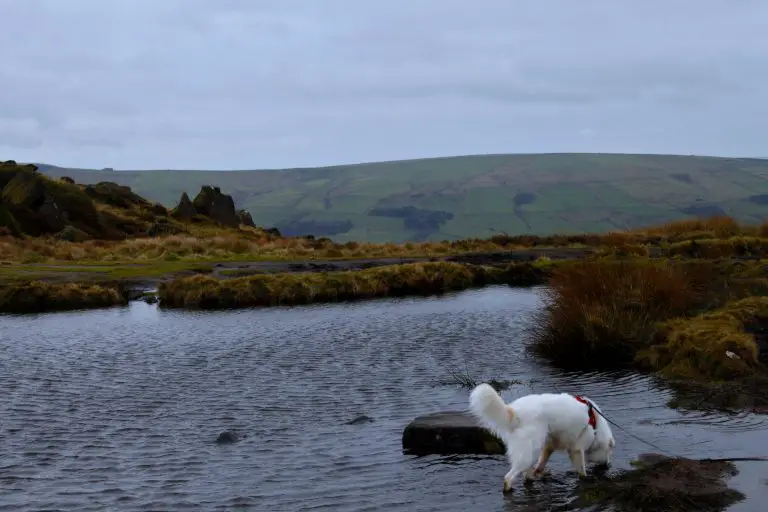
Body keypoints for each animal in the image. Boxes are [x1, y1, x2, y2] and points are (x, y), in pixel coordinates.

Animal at [464, 384, 616, 492]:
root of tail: (515, 411)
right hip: (529, 453)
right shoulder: (577, 449)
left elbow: (542, 463)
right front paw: (586, 478)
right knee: (509, 478)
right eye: (609, 452)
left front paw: (539, 472)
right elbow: (582, 471)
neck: (596, 425)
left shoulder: (549, 446)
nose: (608, 465)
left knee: (525, 475)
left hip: (533, 449)